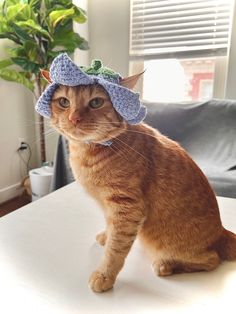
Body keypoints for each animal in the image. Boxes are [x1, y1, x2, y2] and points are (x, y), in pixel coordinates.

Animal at [48, 75, 236, 294]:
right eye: (64, 102)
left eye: (96, 102)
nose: (74, 118)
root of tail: (222, 231)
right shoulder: (110, 208)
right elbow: (111, 228)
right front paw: (106, 236)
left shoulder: (127, 208)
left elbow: (116, 248)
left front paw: (105, 275)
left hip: (167, 245)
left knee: (211, 260)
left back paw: (165, 265)